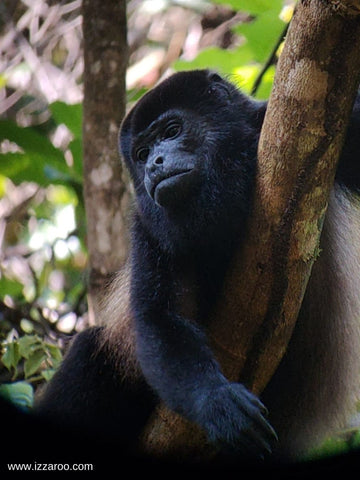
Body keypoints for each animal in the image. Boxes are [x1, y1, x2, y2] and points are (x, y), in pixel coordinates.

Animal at [35, 70, 360, 462]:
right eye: (141, 154)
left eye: (172, 130)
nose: (154, 164)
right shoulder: (146, 229)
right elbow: (160, 318)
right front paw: (215, 402)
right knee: (90, 352)